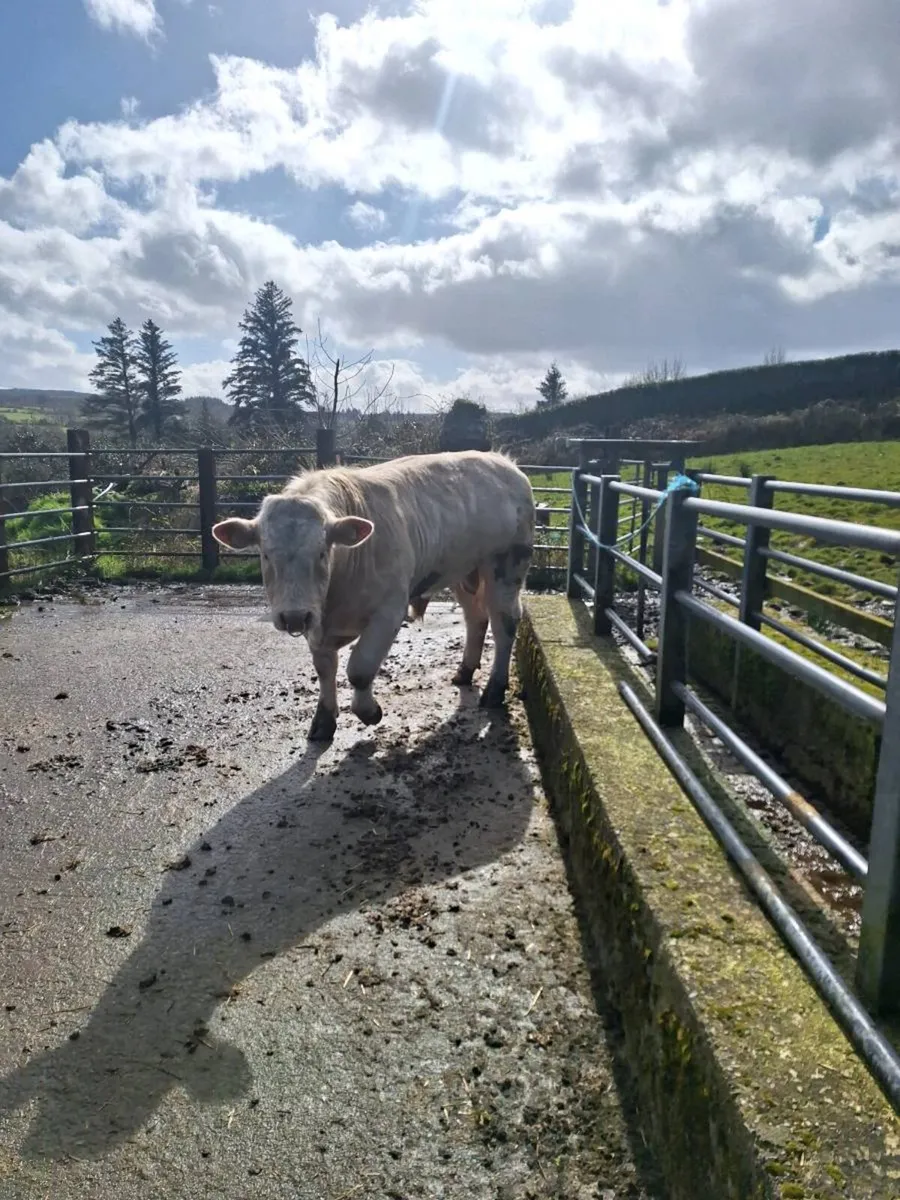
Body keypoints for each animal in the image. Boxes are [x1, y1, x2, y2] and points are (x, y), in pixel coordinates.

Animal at [211, 450, 535, 742]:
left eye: (321, 552)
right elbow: (325, 668)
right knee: (475, 617)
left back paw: (494, 690)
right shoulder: (316, 620)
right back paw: (465, 671)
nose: (293, 617)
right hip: (461, 568)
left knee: (505, 623)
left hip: (507, 564)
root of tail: (503, 462)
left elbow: (360, 668)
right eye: (265, 554)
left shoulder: (389, 610)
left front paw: (369, 712)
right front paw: (323, 721)